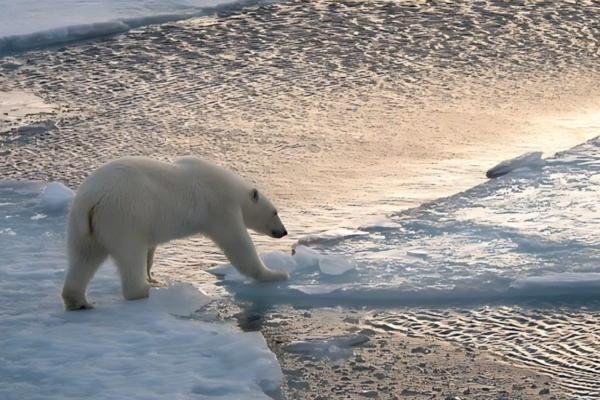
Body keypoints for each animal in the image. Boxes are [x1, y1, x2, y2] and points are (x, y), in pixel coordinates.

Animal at [61, 156, 288, 310]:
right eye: (275, 212)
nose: (284, 232)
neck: (230, 187)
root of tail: (91, 199)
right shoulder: (219, 207)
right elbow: (238, 244)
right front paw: (276, 274)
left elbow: (151, 248)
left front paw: (153, 275)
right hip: (123, 216)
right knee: (130, 253)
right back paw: (142, 290)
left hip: (83, 225)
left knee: (84, 257)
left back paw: (79, 301)